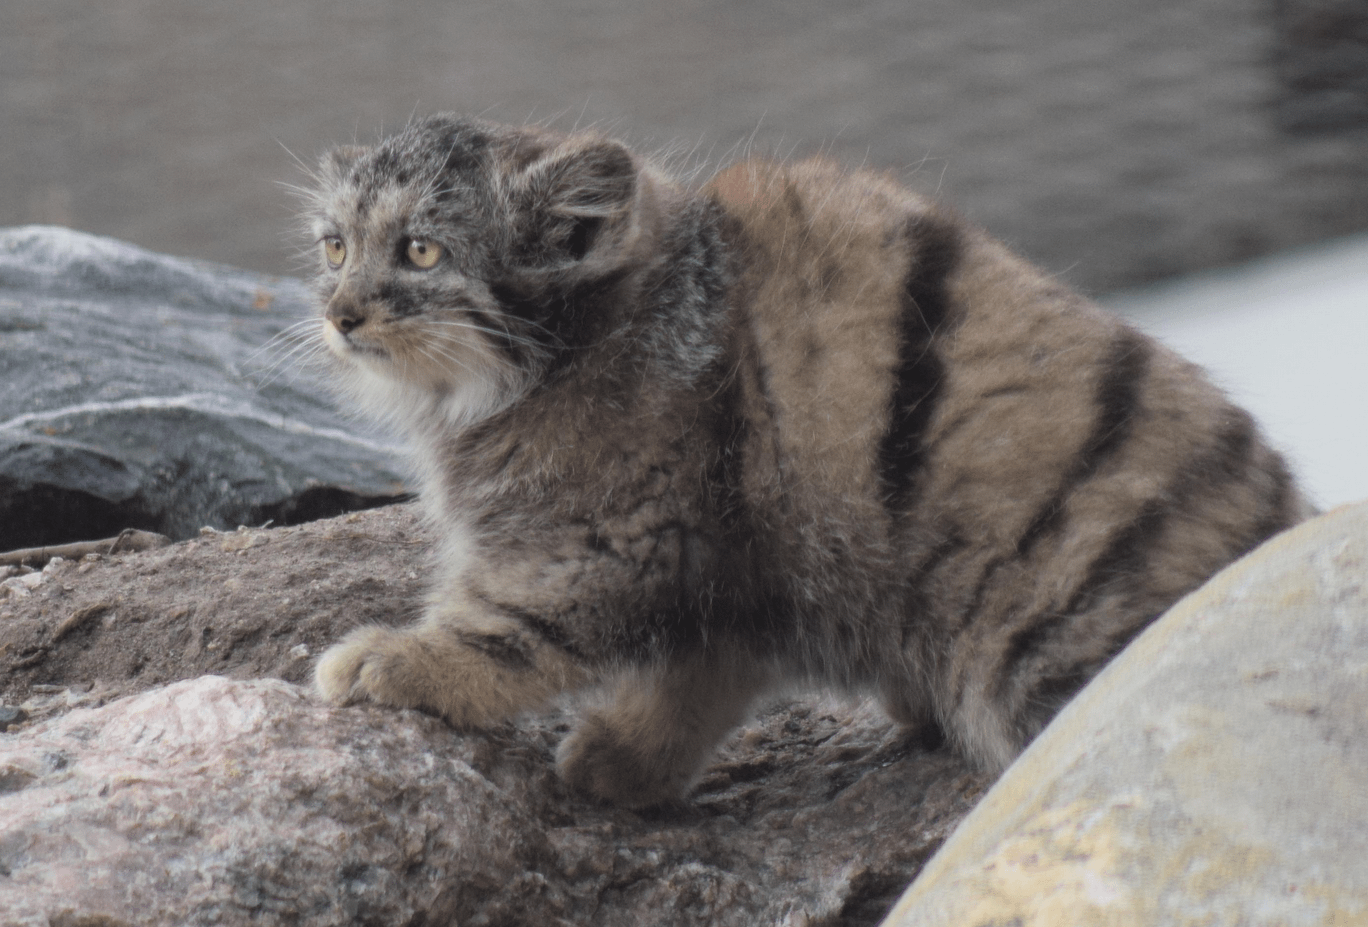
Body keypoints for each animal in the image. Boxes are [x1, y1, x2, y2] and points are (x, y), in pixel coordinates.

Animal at [305, 114, 1307, 803]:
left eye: (420, 250)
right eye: (336, 246)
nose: (338, 313)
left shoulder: (611, 540)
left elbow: (512, 630)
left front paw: (400, 661)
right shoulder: (730, 572)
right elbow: (693, 684)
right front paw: (625, 762)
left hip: (1059, 645)